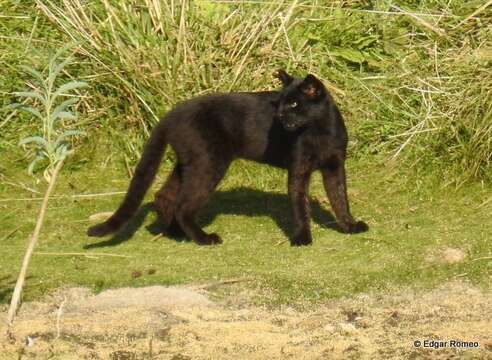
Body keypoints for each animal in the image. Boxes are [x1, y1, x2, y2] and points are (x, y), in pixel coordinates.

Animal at [86, 70, 368, 245]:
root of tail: (170, 114)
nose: (278, 116)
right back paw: (204, 238)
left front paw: (350, 226)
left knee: (165, 196)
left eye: (294, 104)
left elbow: (339, 198)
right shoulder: (299, 169)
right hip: (209, 163)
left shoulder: (335, 165)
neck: (320, 131)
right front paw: (301, 238)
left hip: (189, 162)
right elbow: (300, 205)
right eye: (280, 103)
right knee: (183, 205)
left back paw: (175, 233)